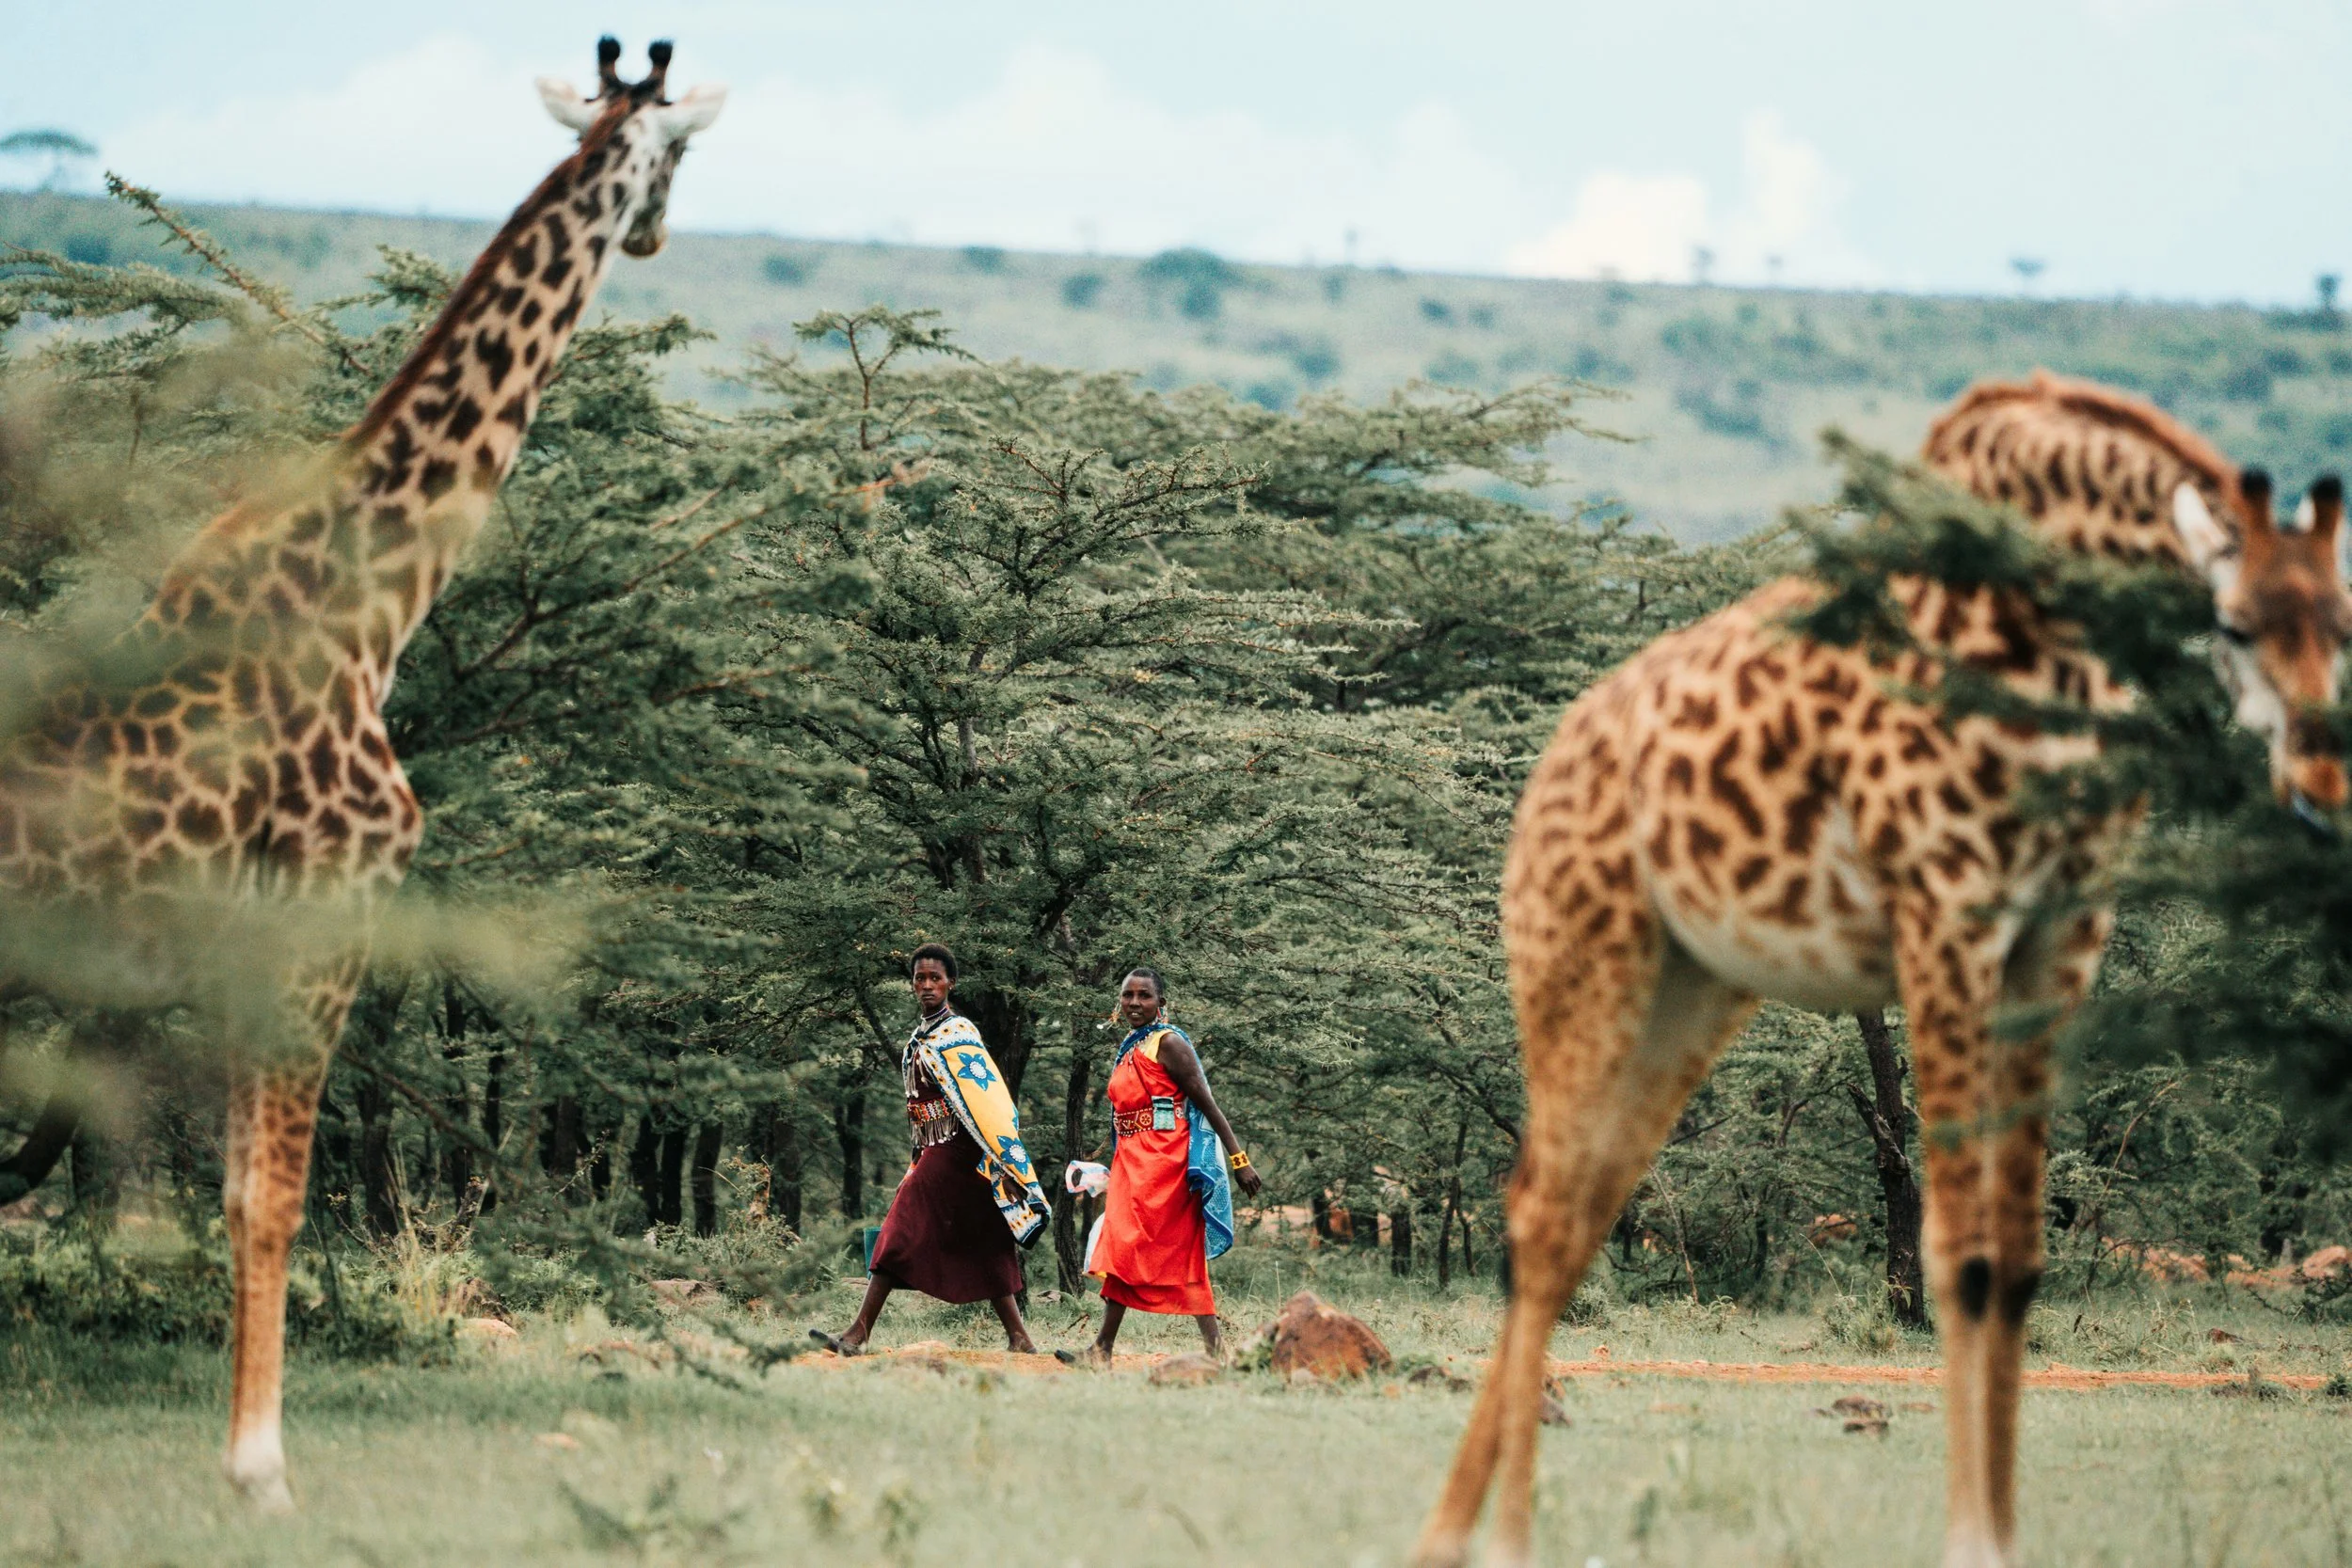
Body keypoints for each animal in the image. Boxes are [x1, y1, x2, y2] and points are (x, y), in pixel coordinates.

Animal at [0, 38, 723, 1510]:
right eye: (678, 154)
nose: (659, 231)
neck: (375, 599)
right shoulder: (327, 901)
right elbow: (273, 1195)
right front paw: (261, 1467)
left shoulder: (249, 932)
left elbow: (236, 1190)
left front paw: (242, 1453)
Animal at [1413, 370, 2350, 1568]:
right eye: (2231, 622)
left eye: (2346, 619)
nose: (2320, 783)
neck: (2045, 629)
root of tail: (1548, 766)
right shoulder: (1947, 914)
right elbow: (1960, 1254)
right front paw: (1969, 1540)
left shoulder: (2058, 939)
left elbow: (2019, 1257)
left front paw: (2003, 1533)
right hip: (1583, 956)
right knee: (1536, 1216)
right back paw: (1495, 1536)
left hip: (1692, 991)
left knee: (1573, 1213)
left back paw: (1459, 1530)